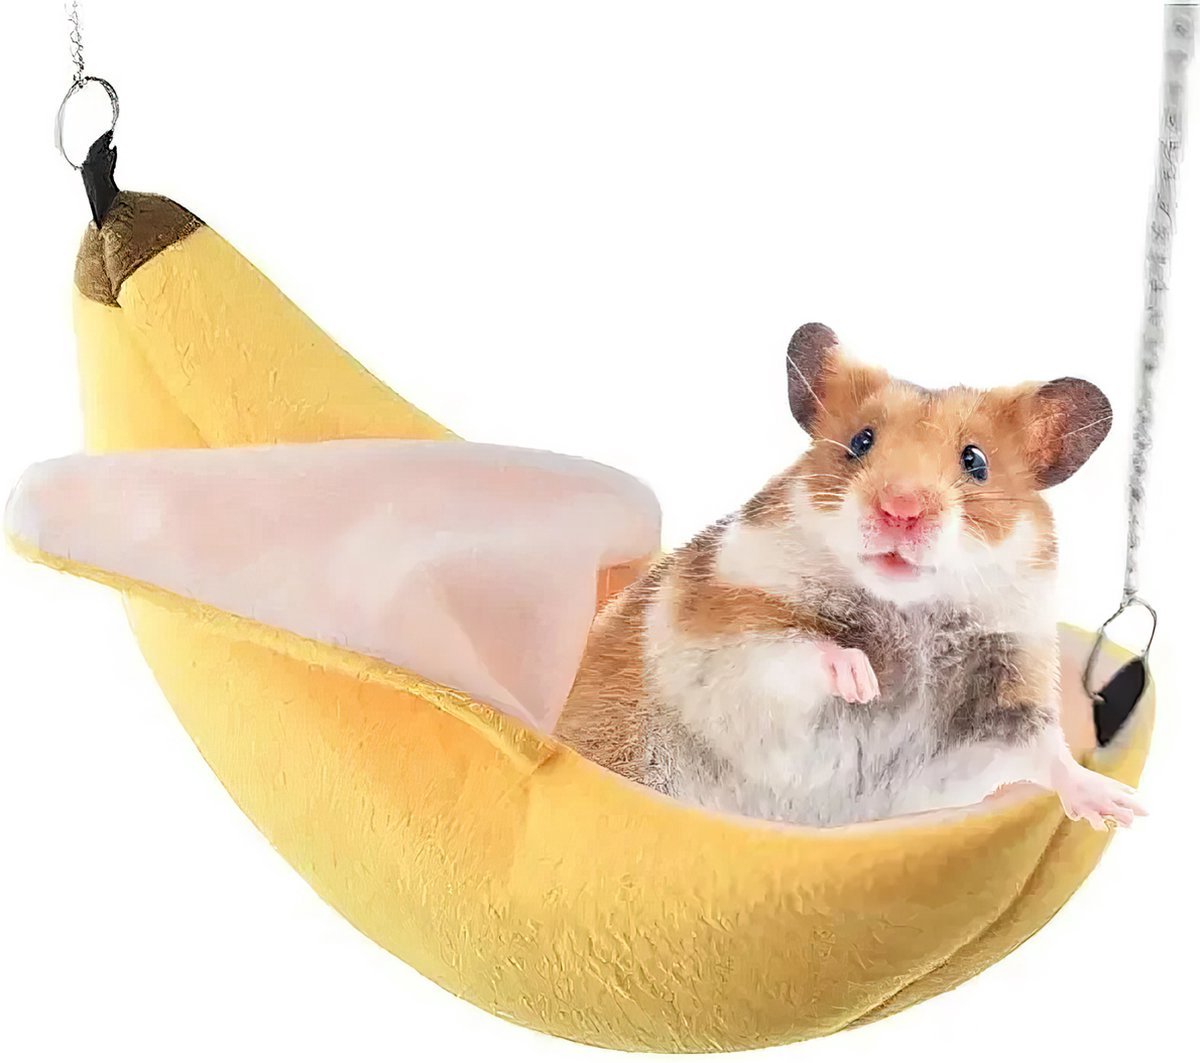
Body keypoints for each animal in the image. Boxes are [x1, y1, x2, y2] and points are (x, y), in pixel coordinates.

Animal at [555, 323, 1145, 830]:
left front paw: (1123, 808)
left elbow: (1046, 751)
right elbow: (798, 646)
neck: (910, 609)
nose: (900, 510)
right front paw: (864, 680)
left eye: (975, 461)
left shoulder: (1009, 691)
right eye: (861, 441)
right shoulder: (728, 621)